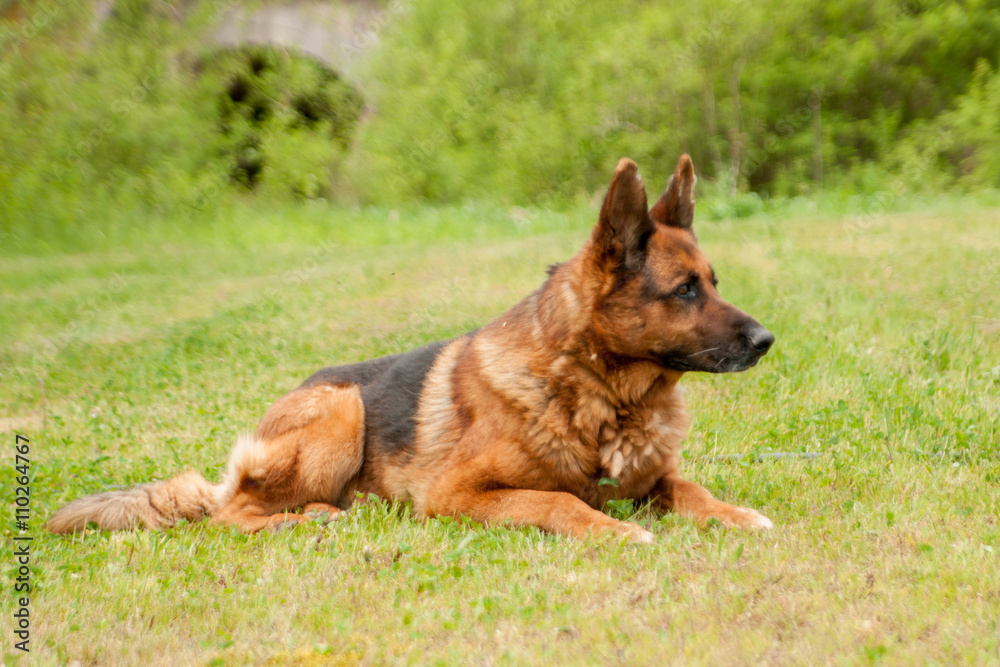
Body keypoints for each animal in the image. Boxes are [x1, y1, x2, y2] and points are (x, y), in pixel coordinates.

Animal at [48, 157, 772, 544]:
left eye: (714, 282)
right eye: (684, 290)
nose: (767, 340)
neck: (595, 395)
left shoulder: (651, 477)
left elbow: (691, 486)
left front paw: (736, 514)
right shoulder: (458, 493)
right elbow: (560, 501)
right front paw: (613, 528)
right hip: (343, 411)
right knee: (229, 513)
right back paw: (302, 521)